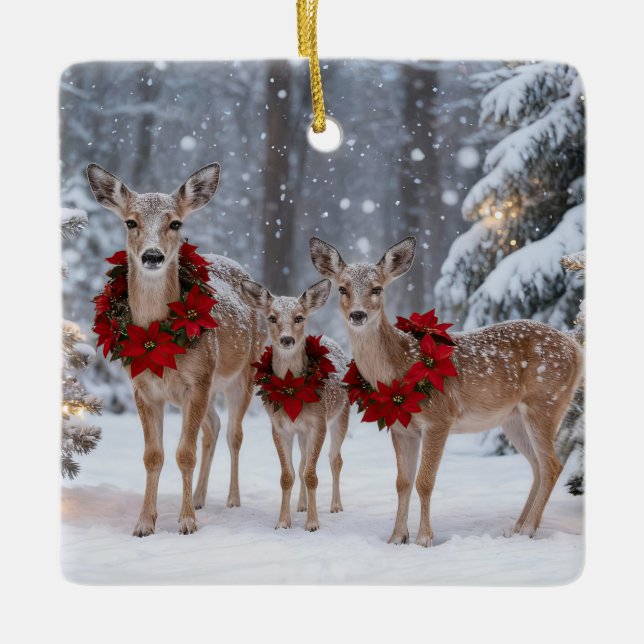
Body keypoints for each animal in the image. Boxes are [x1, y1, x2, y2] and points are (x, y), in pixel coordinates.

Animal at [86, 162, 264, 536]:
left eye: (176, 223)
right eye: (130, 222)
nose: (152, 255)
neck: (157, 339)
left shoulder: (197, 382)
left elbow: (185, 453)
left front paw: (186, 523)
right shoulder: (144, 388)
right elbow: (153, 456)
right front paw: (144, 523)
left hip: (244, 372)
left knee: (234, 433)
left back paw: (232, 500)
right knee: (213, 427)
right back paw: (198, 497)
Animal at [240, 278, 350, 532]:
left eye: (299, 317)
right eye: (272, 317)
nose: (287, 339)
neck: (291, 390)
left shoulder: (318, 422)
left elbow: (312, 475)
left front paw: (312, 524)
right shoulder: (279, 427)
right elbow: (288, 476)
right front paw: (283, 522)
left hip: (341, 415)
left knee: (335, 459)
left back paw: (336, 506)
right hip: (301, 432)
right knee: (301, 464)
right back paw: (301, 505)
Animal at [309, 236, 584, 547]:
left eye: (377, 288)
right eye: (342, 288)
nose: (358, 314)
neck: (399, 370)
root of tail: (575, 346)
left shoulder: (440, 417)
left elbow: (425, 482)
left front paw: (424, 538)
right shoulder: (402, 428)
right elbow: (402, 482)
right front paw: (396, 538)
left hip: (545, 401)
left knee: (552, 465)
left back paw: (527, 529)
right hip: (513, 419)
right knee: (537, 465)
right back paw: (516, 528)